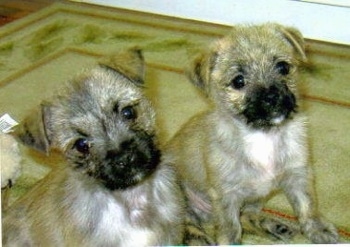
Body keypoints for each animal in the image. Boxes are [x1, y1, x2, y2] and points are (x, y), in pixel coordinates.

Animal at [167, 23, 340, 245]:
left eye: (283, 67)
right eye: (238, 81)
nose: (272, 96)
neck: (264, 136)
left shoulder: (298, 175)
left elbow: (308, 206)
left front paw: (319, 230)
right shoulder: (227, 194)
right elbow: (230, 227)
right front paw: (229, 243)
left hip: (256, 199)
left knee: (248, 216)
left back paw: (275, 227)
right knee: (187, 224)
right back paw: (200, 238)